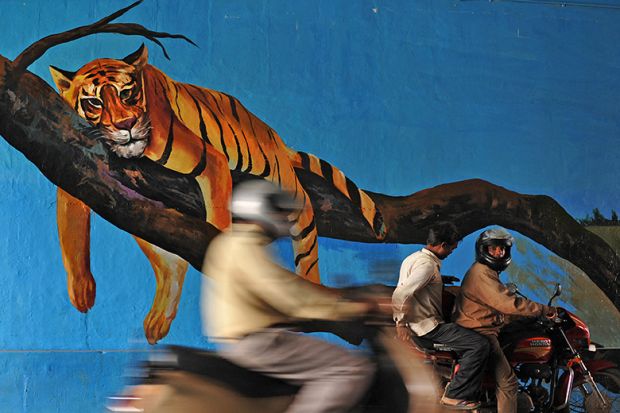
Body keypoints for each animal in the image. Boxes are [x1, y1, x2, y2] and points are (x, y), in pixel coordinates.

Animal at [49, 43, 388, 342]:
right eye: (94, 102)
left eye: (127, 93)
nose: (126, 124)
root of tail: (276, 137)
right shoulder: (75, 161)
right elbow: (71, 231)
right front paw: (81, 291)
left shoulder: (210, 159)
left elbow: (219, 219)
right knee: (170, 262)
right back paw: (159, 319)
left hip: (288, 191)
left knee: (306, 245)